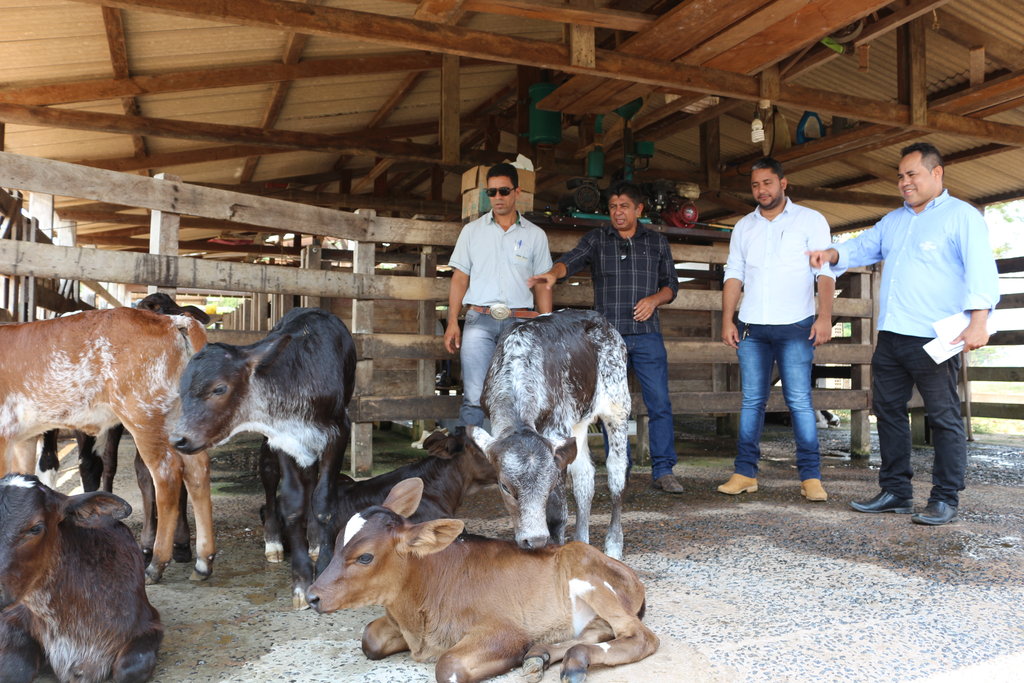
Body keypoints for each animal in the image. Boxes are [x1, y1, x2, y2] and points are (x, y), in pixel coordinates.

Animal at [0, 309, 214, 581]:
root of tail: (172, 320)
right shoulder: (23, 437)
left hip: (144, 416)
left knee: (167, 475)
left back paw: (156, 564)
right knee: (197, 470)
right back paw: (203, 562)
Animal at [305, 479, 655, 683]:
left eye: (365, 557)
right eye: (335, 542)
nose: (312, 597)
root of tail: (631, 576)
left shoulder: (505, 630)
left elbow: (448, 666)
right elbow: (370, 639)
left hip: (584, 572)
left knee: (640, 636)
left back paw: (571, 661)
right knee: (597, 632)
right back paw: (540, 655)